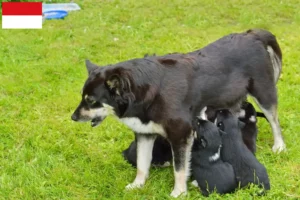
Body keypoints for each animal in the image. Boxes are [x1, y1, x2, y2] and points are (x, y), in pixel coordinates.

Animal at [71, 29, 284, 197]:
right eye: (82, 97)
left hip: (264, 93)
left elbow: (179, 169)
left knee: (275, 121)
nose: (73, 117)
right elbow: (142, 164)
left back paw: (279, 146)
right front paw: (138, 185)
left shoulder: (181, 135)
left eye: (91, 100)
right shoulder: (144, 133)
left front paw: (179, 192)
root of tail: (253, 34)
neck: (146, 92)